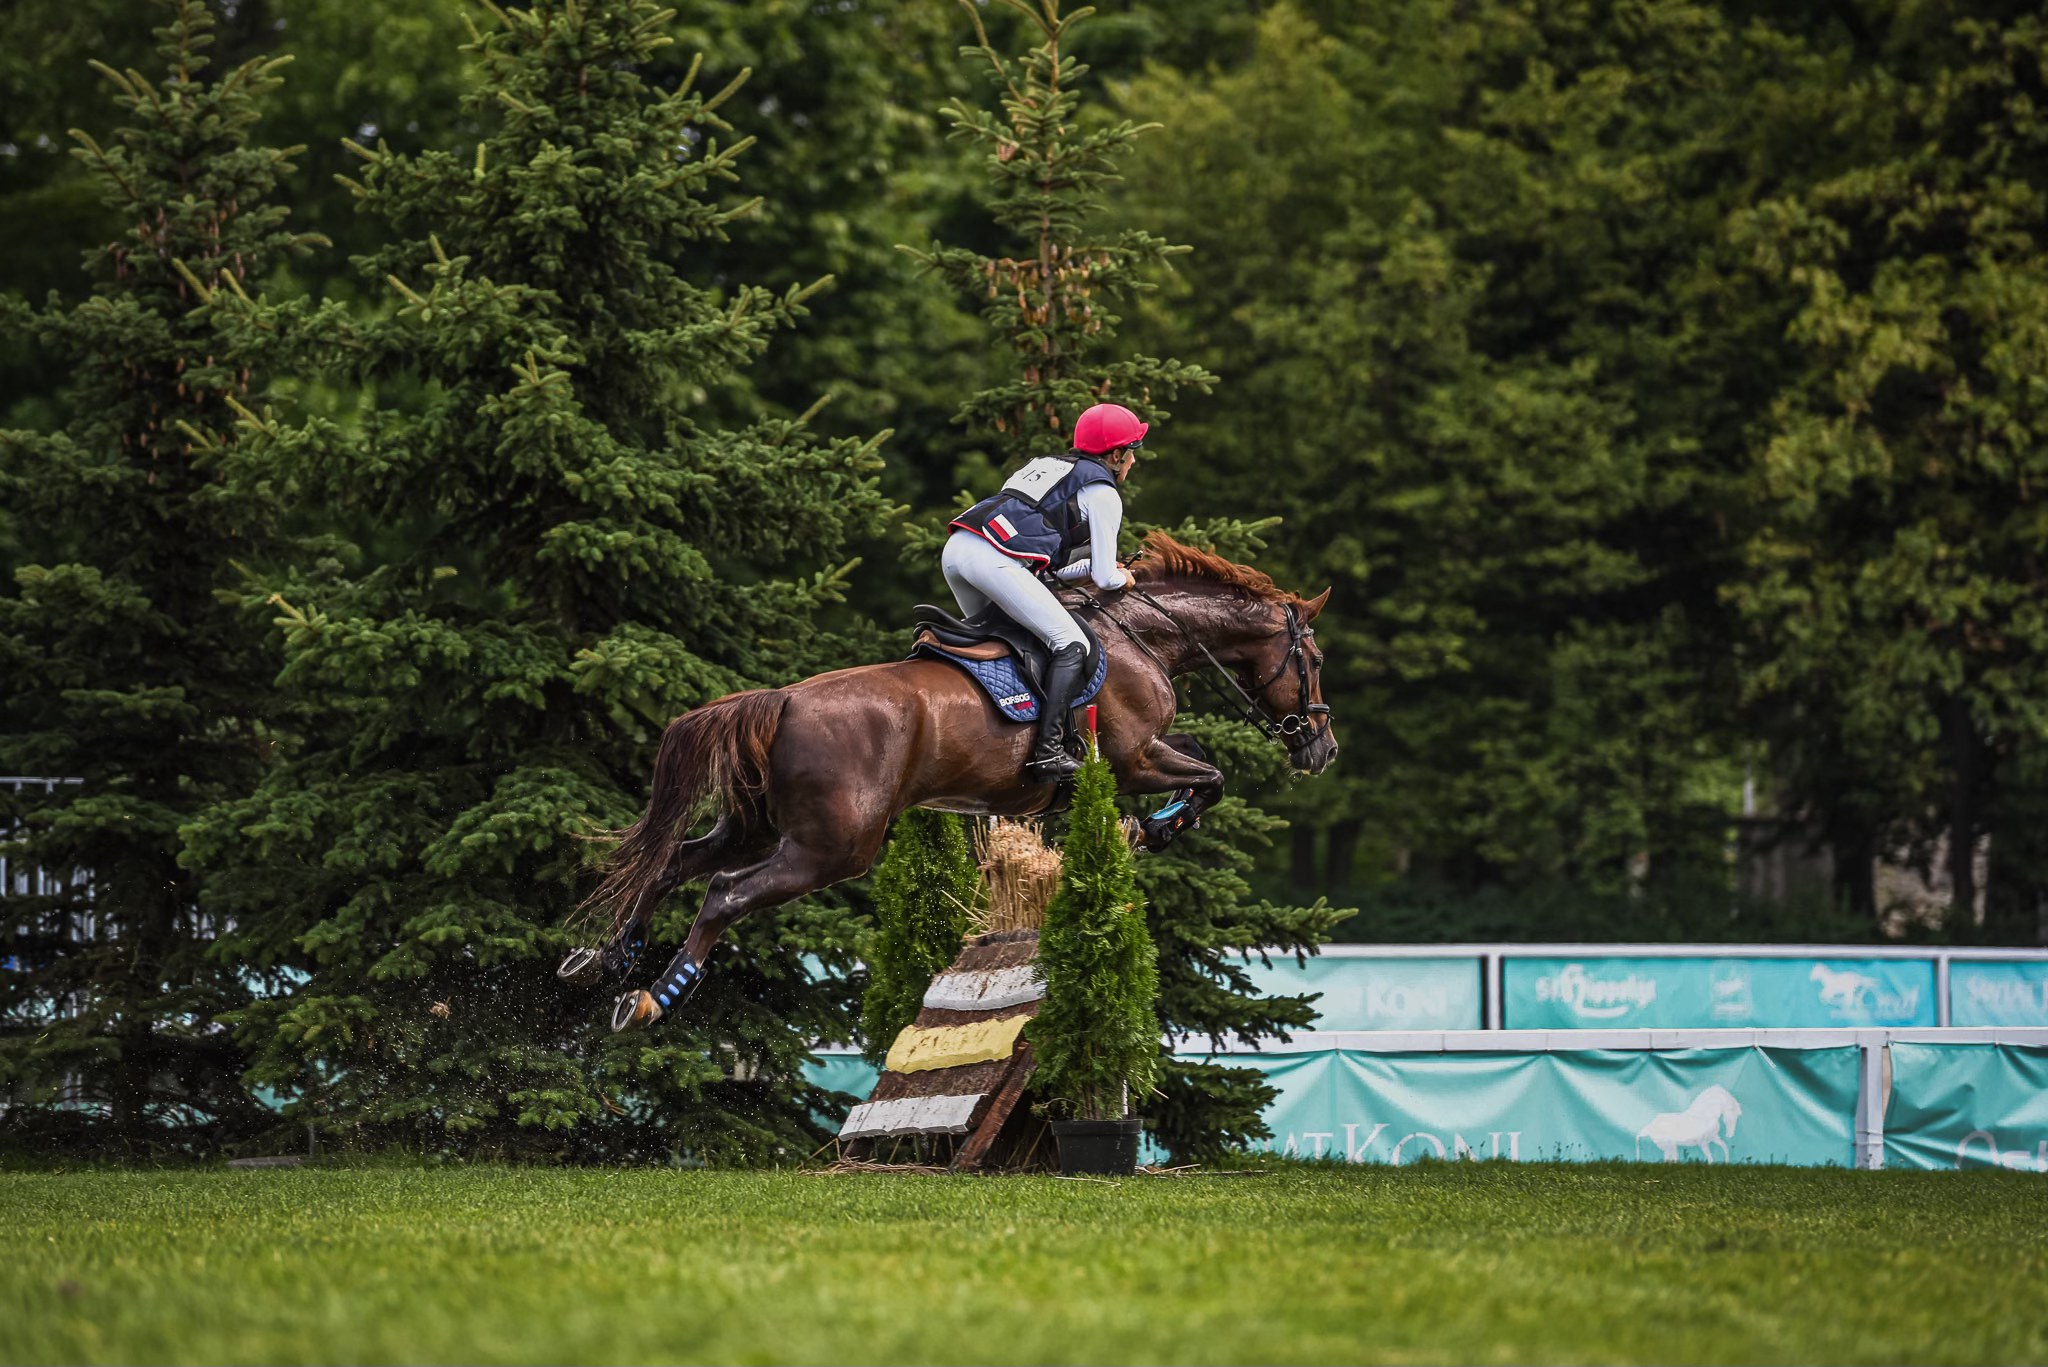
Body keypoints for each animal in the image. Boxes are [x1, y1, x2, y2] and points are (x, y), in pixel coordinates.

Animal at [560, 531, 1338, 1033]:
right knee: (723, 894)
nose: (1323, 748)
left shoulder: (1145, 752)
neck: (1141, 635)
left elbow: (1203, 756)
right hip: (832, 847)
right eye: (1315, 659)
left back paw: (605, 958)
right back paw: (651, 1000)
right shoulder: (1133, 758)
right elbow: (1213, 773)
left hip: (758, 824)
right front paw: (1156, 828)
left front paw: (1157, 825)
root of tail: (782, 699)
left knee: (675, 864)